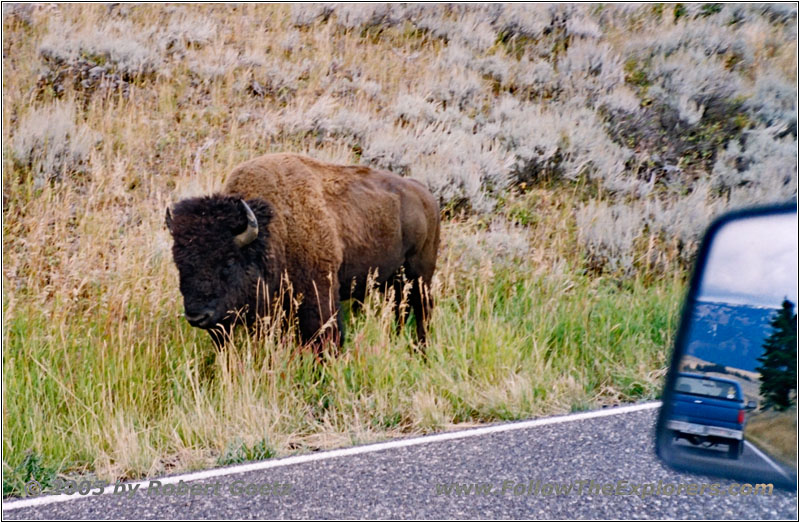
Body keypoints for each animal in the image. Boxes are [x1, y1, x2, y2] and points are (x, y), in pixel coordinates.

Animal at [164, 152, 438, 352]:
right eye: (179, 263)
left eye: (229, 261)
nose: (197, 316)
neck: (272, 231)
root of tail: (426, 196)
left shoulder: (319, 295)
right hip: (394, 282)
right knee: (401, 311)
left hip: (420, 276)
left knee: (422, 313)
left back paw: (421, 350)